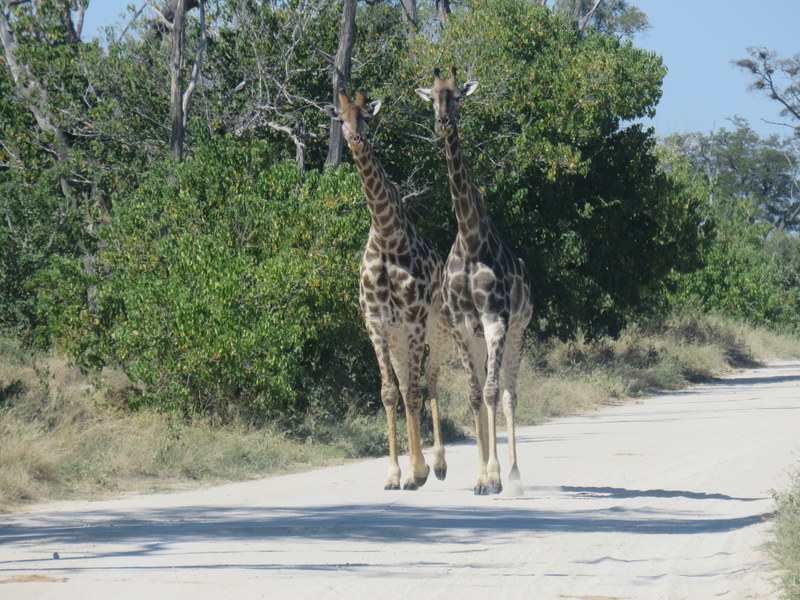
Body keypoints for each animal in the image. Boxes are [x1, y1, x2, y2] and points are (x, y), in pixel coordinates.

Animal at [324, 91, 450, 490]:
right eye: (341, 118)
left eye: (366, 116)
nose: (355, 140)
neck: (386, 235)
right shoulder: (376, 323)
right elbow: (390, 392)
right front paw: (395, 474)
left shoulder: (413, 319)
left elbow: (412, 391)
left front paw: (418, 471)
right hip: (398, 338)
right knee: (410, 382)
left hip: (437, 329)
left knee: (430, 378)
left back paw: (437, 464)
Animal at [416, 67, 536, 496]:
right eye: (433, 98)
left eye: (457, 97)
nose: (443, 123)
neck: (470, 242)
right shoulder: (461, 326)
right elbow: (472, 393)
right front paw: (482, 476)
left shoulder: (496, 320)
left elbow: (491, 392)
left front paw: (497, 476)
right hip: (481, 337)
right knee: (487, 388)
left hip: (517, 330)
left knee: (509, 394)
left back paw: (515, 475)